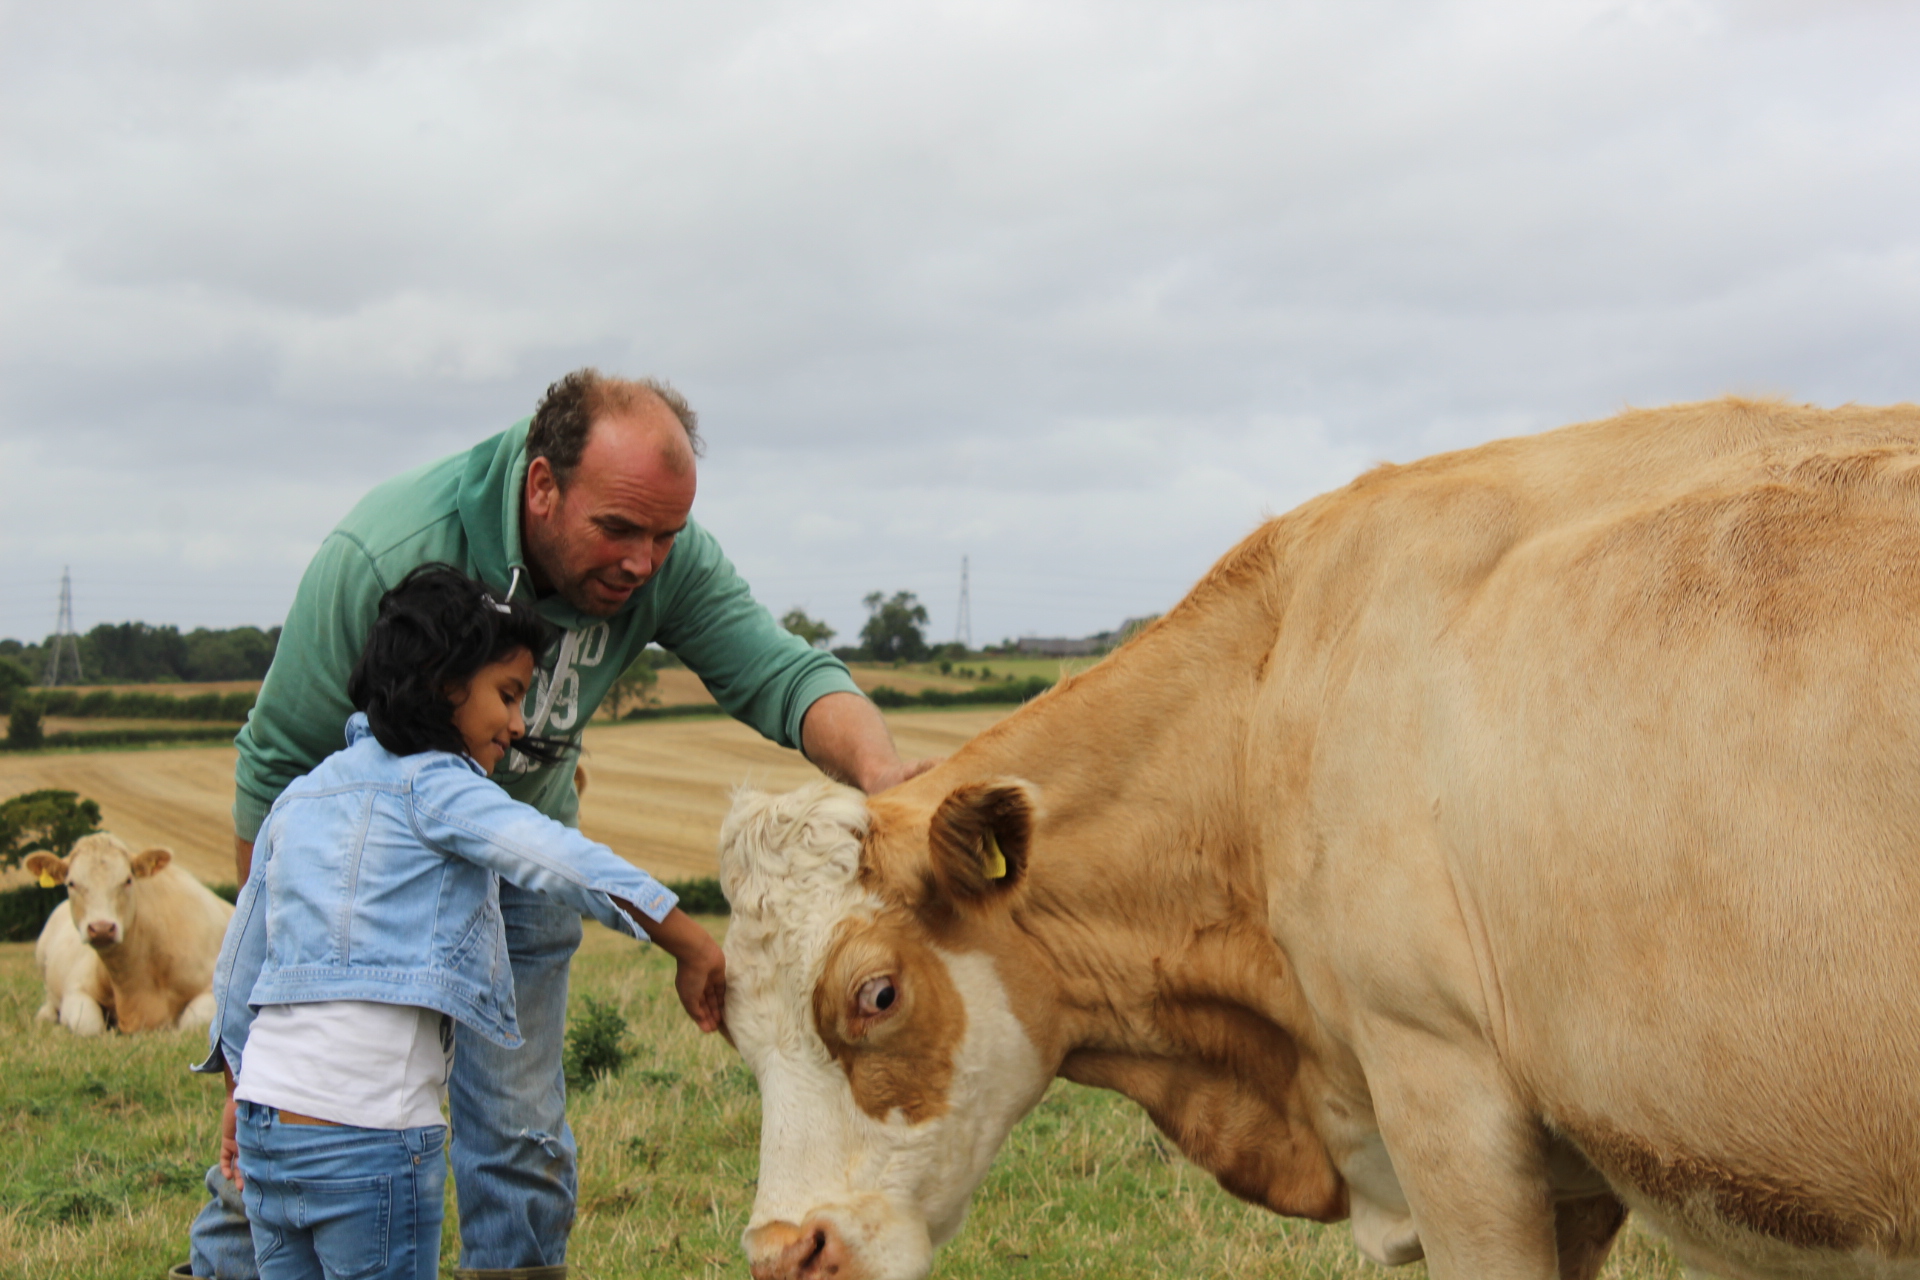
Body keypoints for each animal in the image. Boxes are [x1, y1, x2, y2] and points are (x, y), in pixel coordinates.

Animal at [28, 836, 234, 1036]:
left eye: (128, 880)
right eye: (71, 883)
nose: (102, 928)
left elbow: (190, 1023)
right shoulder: (76, 988)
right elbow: (87, 1025)